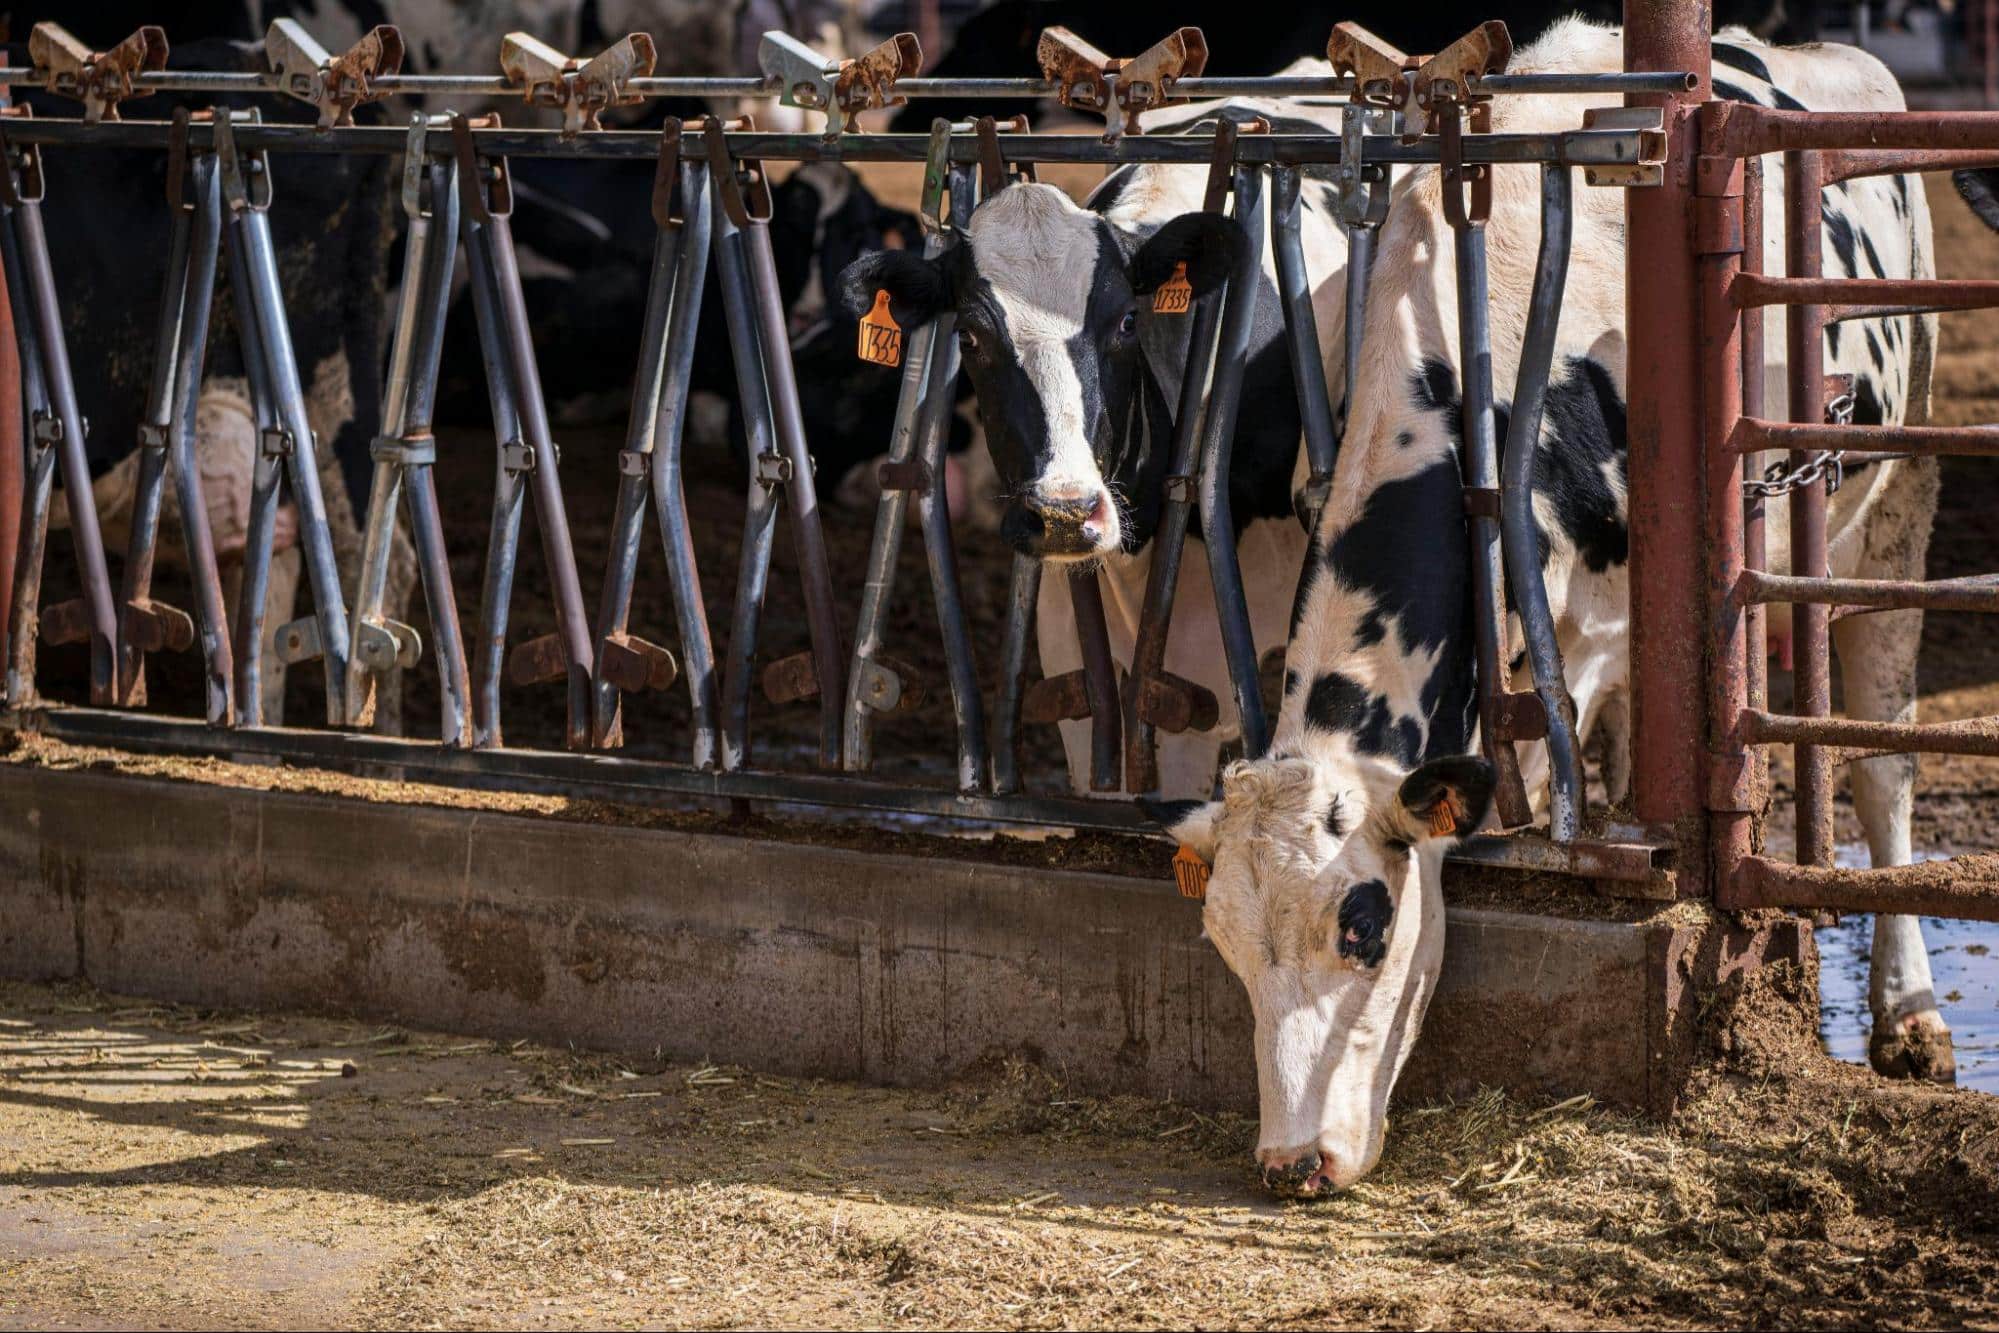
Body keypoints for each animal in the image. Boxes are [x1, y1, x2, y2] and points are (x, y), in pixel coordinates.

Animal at [1151, 13, 1975, 1199]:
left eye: (1365, 926)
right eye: (1221, 940)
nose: (1292, 1162)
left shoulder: (1589, 644)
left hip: (1896, 499)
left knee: (1879, 761)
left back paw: (1909, 1015)